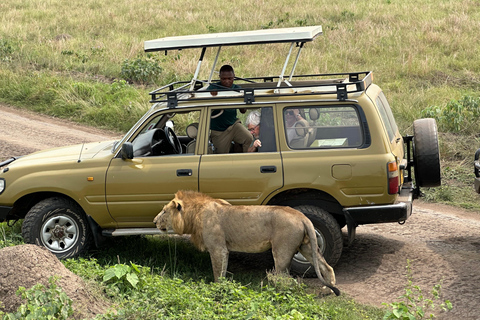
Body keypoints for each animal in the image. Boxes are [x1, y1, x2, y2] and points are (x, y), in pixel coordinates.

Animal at [153, 190, 338, 296]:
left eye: (164, 211)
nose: (154, 221)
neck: (195, 214)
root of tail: (302, 216)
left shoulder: (218, 249)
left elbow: (218, 273)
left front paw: (218, 290)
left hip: (282, 250)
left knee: (284, 278)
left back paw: (275, 293)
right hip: (307, 246)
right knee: (327, 267)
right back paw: (328, 290)